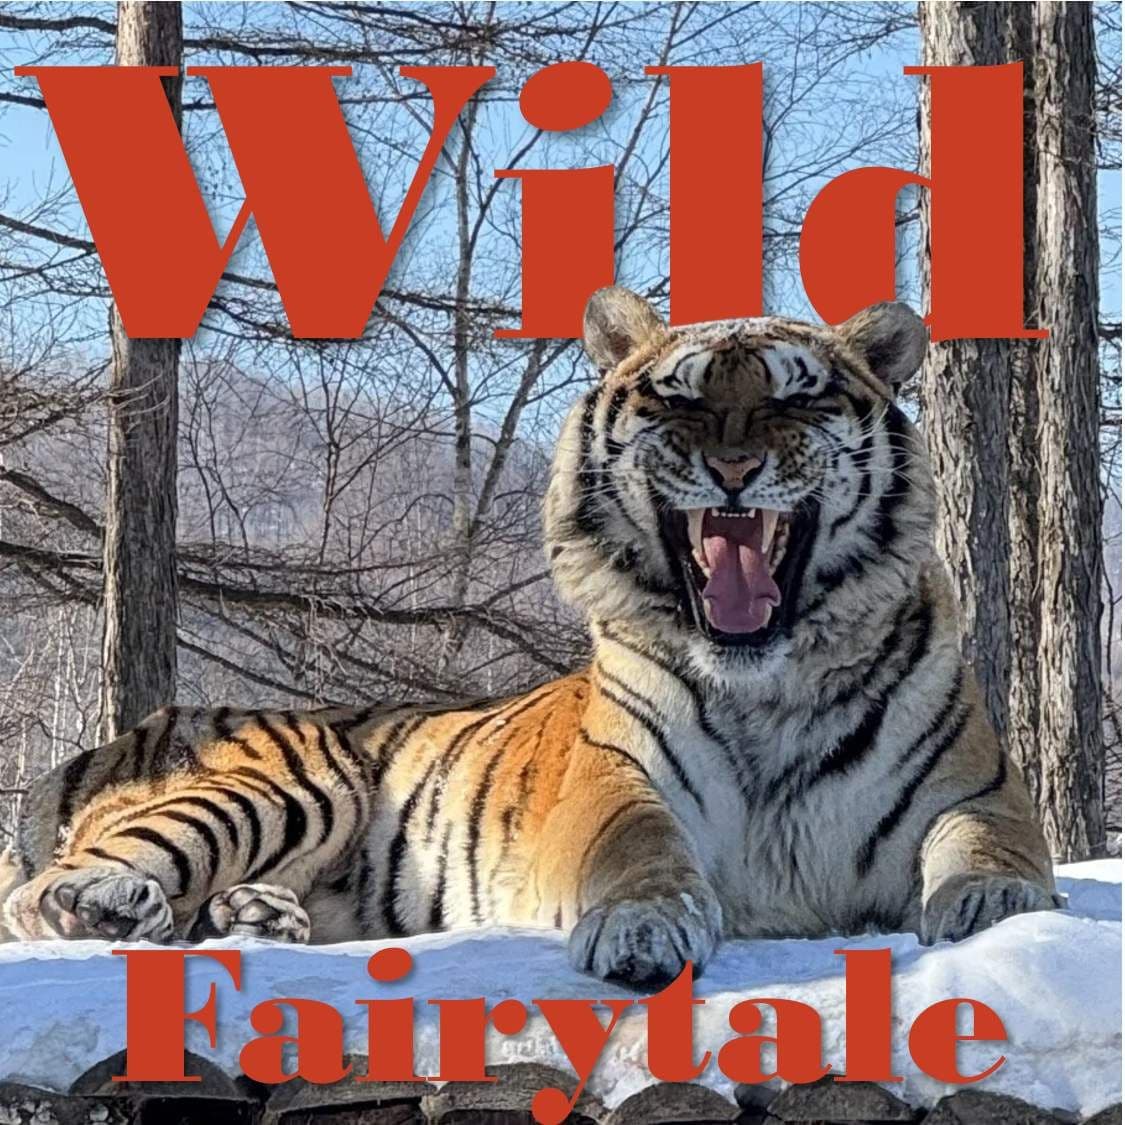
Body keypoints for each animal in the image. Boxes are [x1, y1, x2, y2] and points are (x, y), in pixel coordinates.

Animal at [0, 289, 1059, 986]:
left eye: (796, 398)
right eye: (678, 399)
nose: (732, 468)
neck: (769, 680)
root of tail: (128, 730)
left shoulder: (974, 788)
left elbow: (986, 845)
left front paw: (994, 909)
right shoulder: (617, 780)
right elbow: (639, 852)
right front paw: (640, 930)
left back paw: (257, 914)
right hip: (290, 782)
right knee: (42, 893)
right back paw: (118, 904)